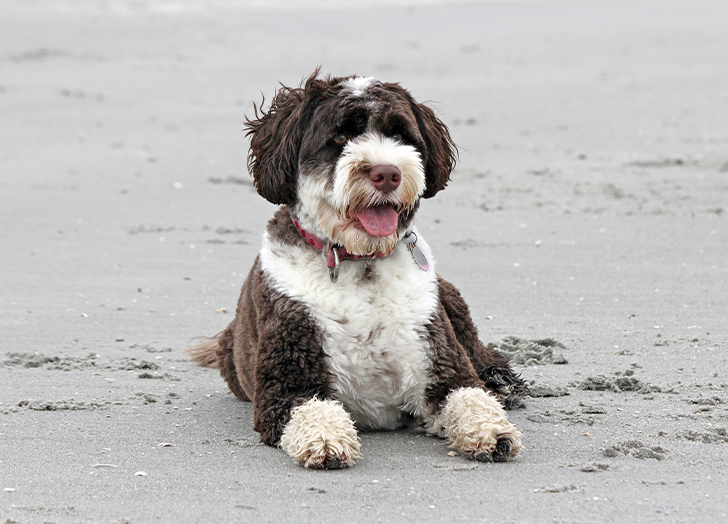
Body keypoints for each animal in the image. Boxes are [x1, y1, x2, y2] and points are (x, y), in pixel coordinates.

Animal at [188, 71, 528, 468]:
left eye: (400, 135)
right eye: (338, 138)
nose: (387, 173)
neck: (360, 262)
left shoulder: (441, 364)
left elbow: (469, 394)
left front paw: (491, 430)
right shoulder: (286, 383)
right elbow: (311, 408)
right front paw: (325, 438)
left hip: (449, 298)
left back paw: (500, 380)